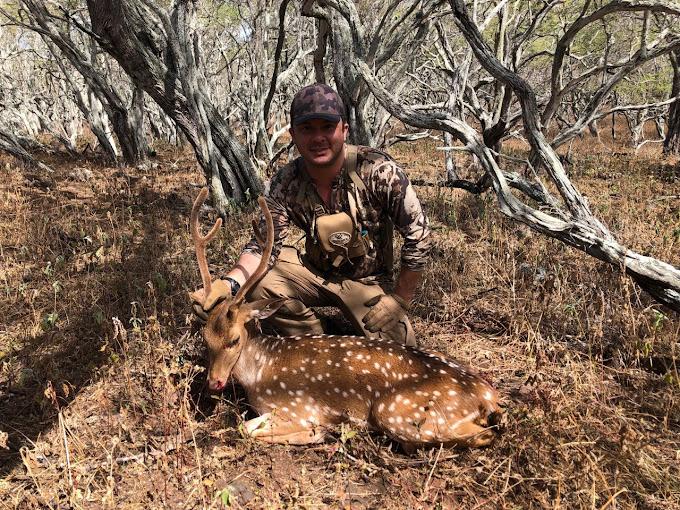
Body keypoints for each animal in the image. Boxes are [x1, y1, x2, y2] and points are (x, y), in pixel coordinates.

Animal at [190, 188, 504, 449]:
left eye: (234, 339)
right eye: (205, 339)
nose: (214, 383)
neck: (259, 372)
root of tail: (490, 398)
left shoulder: (297, 407)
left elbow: (246, 428)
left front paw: (317, 432)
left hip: (395, 411)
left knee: (481, 434)